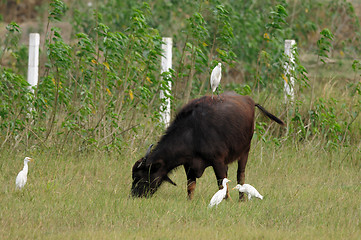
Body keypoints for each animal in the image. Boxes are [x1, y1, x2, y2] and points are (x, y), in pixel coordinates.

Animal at [130, 92, 284, 201]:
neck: (192, 133)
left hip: (245, 151)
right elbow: (191, 186)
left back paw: (242, 199)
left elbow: (222, 184)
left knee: (240, 175)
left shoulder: (218, 161)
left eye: (140, 176)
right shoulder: (189, 165)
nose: (134, 195)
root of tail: (249, 100)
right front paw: (189, 201)